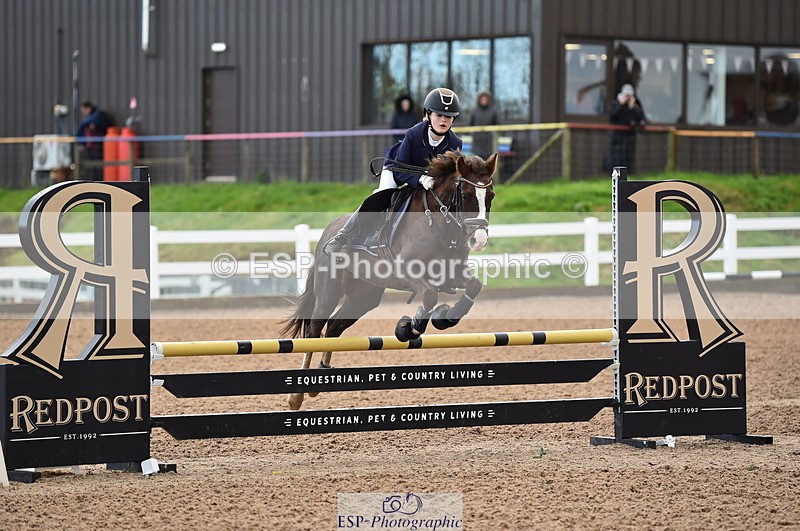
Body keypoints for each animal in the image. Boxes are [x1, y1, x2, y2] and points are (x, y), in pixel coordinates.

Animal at [279, 150, 497, 409]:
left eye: (491, 196)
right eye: (465, 195)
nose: (480, 241)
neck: (440, 223)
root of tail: (328, 230)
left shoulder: (451, 272)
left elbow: (473, 286)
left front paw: (446, 317)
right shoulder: (407, 271)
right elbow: (430, 295)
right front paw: (408, 328)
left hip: (364, 297)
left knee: (333, 328)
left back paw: (321, 377)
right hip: (328, 293)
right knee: (313, 332)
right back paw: (297, 396)